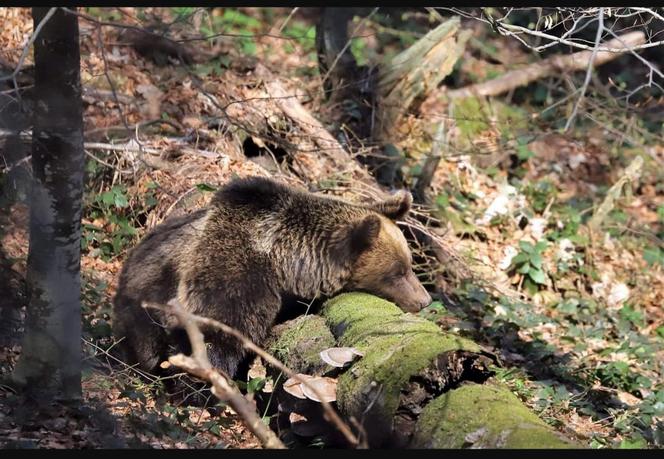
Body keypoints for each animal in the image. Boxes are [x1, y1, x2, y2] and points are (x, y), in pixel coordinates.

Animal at [113, 176, 436, 378]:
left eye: (410, 264)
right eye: (398, 272)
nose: (424, 300)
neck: (288, 262)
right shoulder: (236, 276)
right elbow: (221, 331)